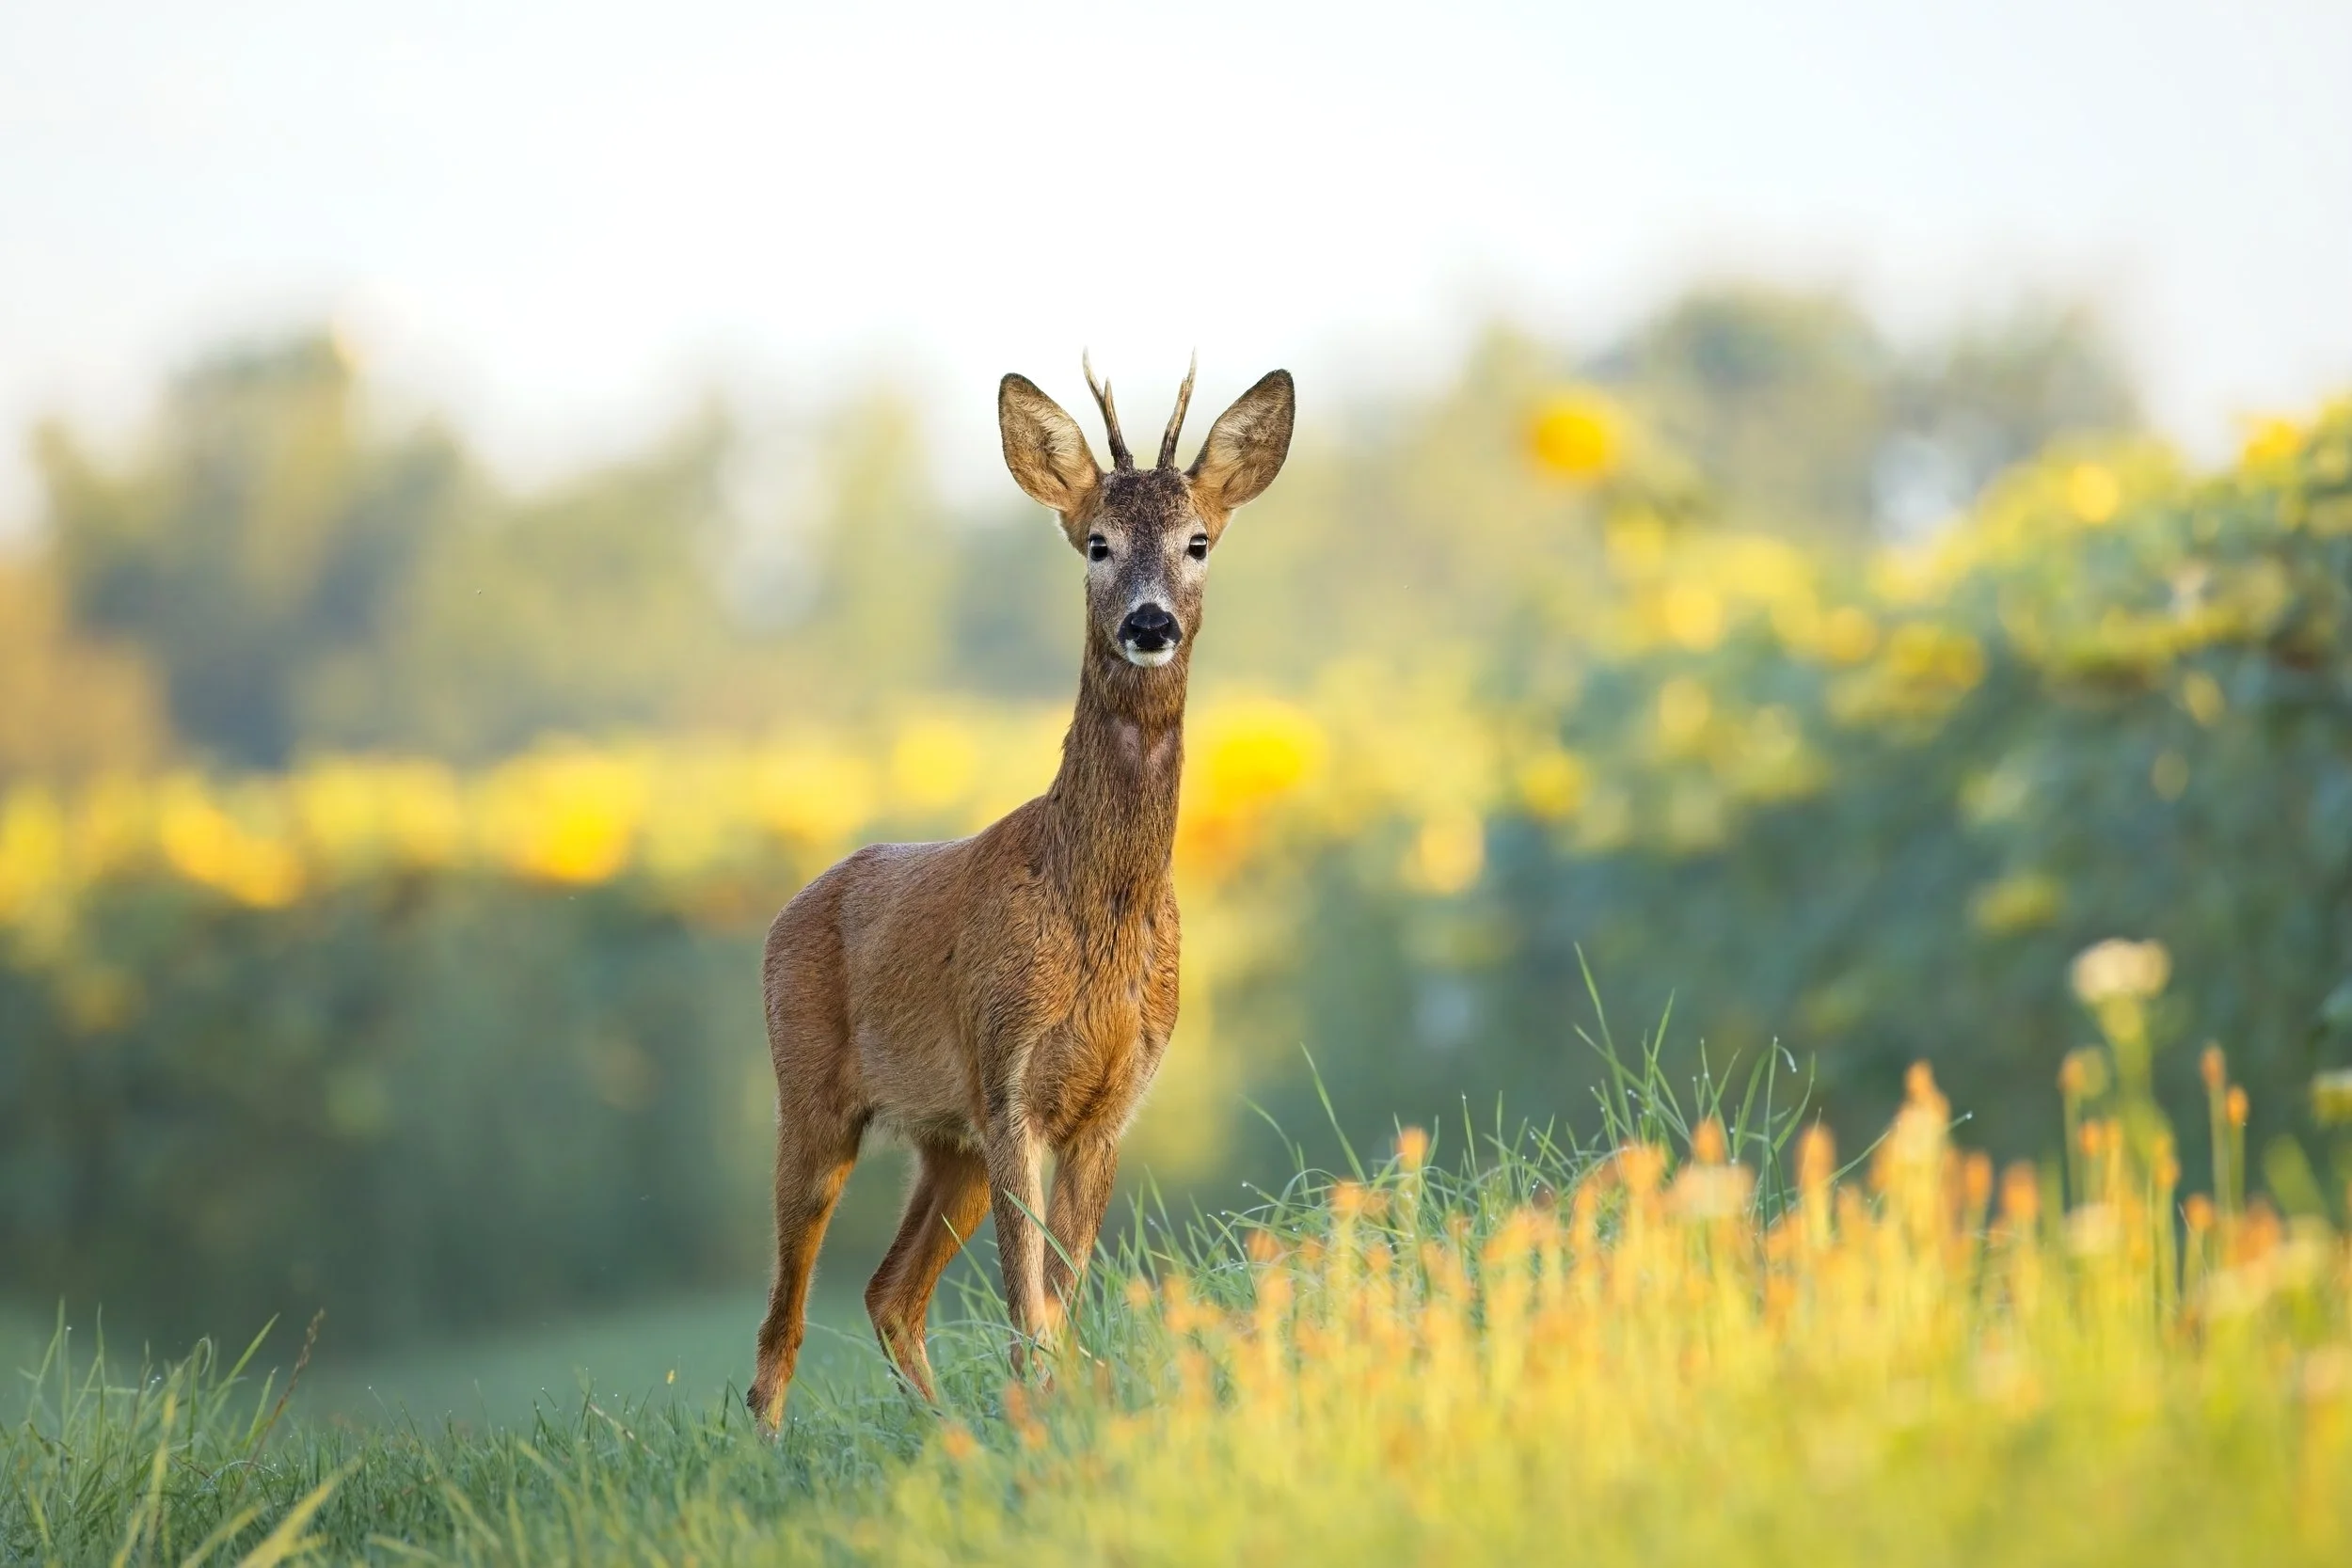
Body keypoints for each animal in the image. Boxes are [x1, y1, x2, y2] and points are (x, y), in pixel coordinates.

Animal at [746, 358, 1295, 1431]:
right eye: (1098, 542)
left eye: (1197, 541)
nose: (1150, 622)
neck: (1096, 909)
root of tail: (789, 907)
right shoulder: (1010, 1081)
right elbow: (1026, 1301)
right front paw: (1042, 1415)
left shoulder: (1107, 1102)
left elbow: (1062, 1296)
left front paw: (1061, 1411)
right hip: (815, 1094)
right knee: (781, 1318)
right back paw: (774, 1442)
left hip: (945, 1135)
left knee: (889, 1290)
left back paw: (940, 1428)